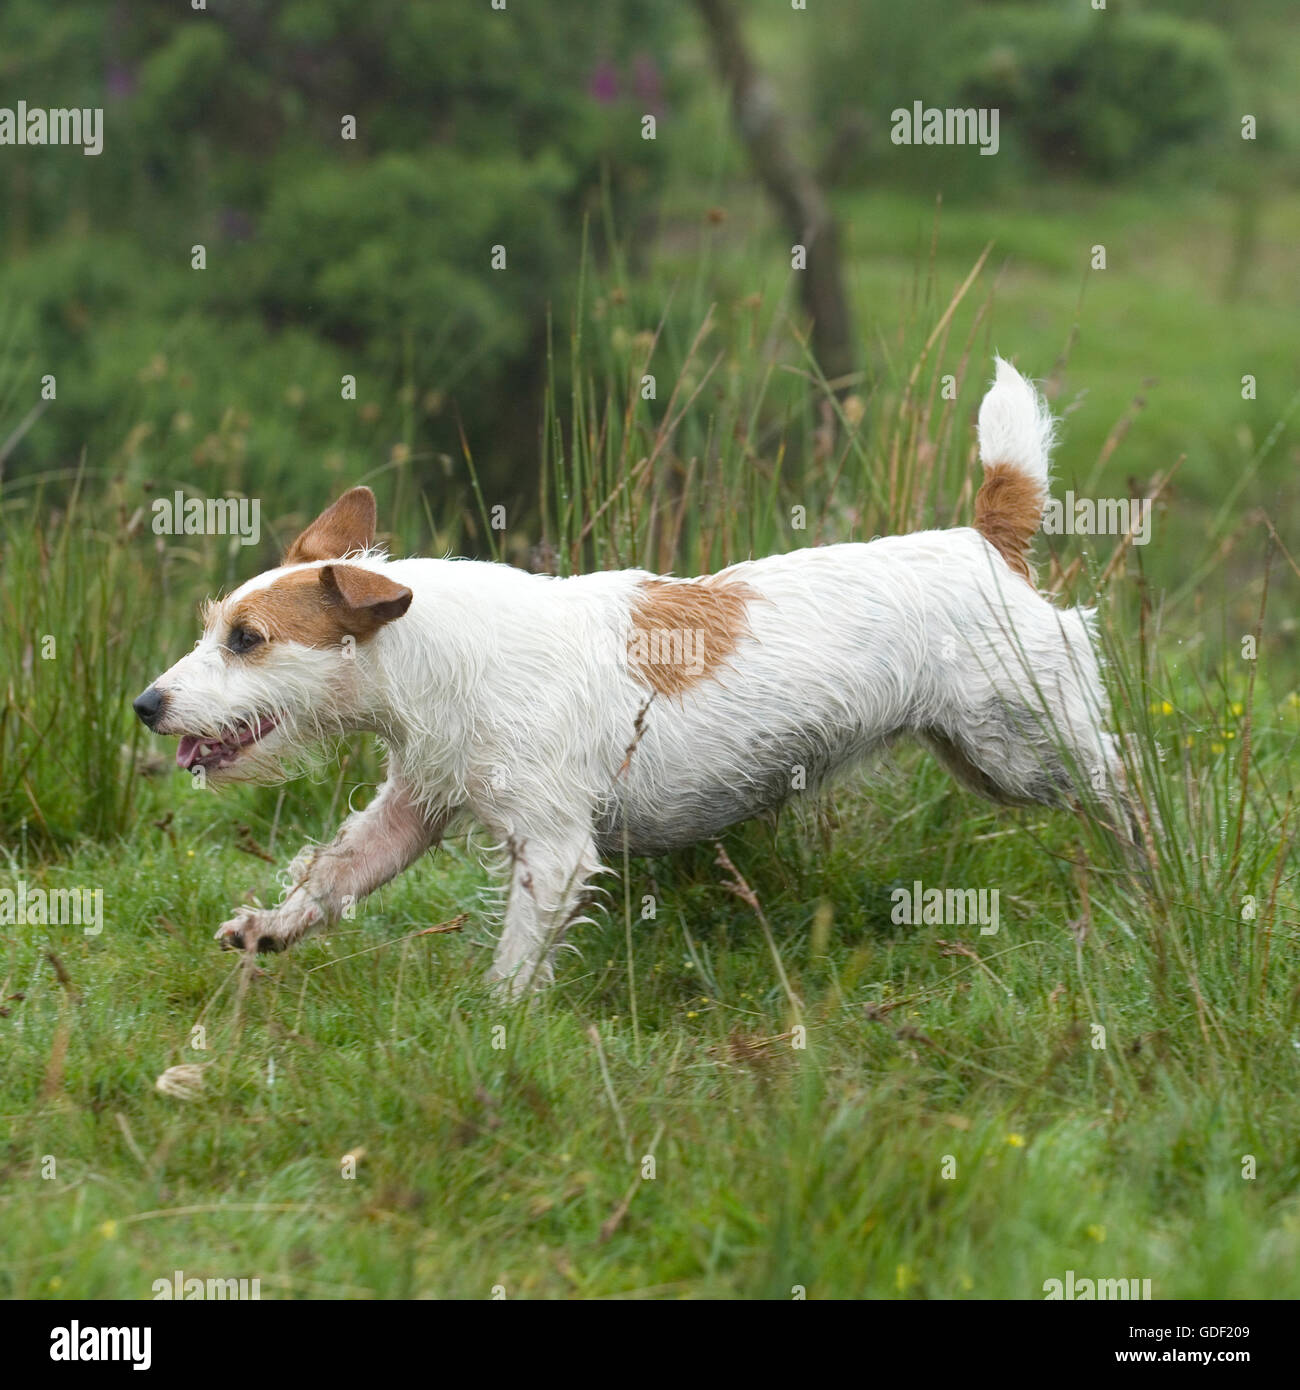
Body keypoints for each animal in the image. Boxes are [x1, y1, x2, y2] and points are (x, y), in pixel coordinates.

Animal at [134, 355, 1128, 989]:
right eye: (217, 626)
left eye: (247, 639)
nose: (147, 703)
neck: (432, 653)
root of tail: (986, 542)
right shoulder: (414, 808)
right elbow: (335, 874)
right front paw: (270, 927)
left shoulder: (553, 851)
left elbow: (514, 963)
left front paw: (492, 1027)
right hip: (982, 756)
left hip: (1027, 751)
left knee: (1126, 788)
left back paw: (1150, 875)